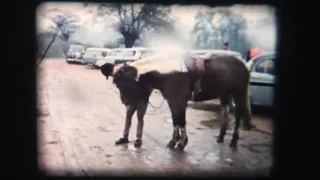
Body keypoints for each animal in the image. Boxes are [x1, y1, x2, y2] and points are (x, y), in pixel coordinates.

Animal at [100, 52, 252, 150]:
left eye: (119, 84)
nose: (124, 102)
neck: (168, 72)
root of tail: (243, 64)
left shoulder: (180, 101)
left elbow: (181, 121)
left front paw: (182, 143)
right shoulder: (172, 101)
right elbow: (175, 120)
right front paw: (174, 141)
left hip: (239, 93)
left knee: (239, 114)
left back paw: (233, 141)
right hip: (225, 94)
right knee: (226, 113)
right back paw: (221, 137)